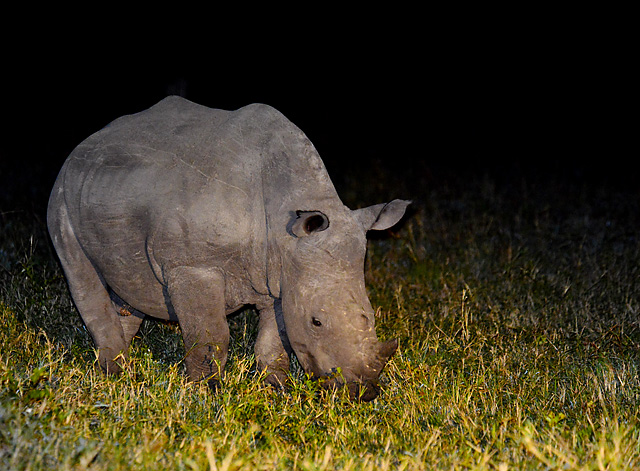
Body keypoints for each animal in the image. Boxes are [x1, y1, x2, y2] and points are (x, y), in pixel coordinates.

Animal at [47, 96, 410, 401]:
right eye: (316, 322)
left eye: (370, 316)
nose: (363, 393)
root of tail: (88, 141)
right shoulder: (193, 265)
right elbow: (210, 337)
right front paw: (206, 392)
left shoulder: (279, 274)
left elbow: (273, 340)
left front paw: (275, 389)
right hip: (62, 193)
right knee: (81, 275)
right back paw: (118, 374)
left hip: (107, 187)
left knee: (128, 284)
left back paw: (116, 369)